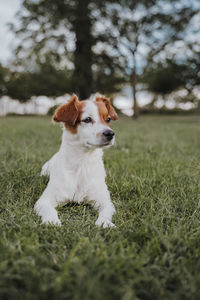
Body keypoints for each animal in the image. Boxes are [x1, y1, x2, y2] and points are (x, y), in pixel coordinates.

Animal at [34, 94, 118, 227]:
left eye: (108, 119)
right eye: (87, 119)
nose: (110, 133)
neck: (82, 163)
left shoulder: (104, 200)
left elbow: (106, 211)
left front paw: (105, 223)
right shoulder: (44, 200)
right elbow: (49, 210)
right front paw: (51, 221)